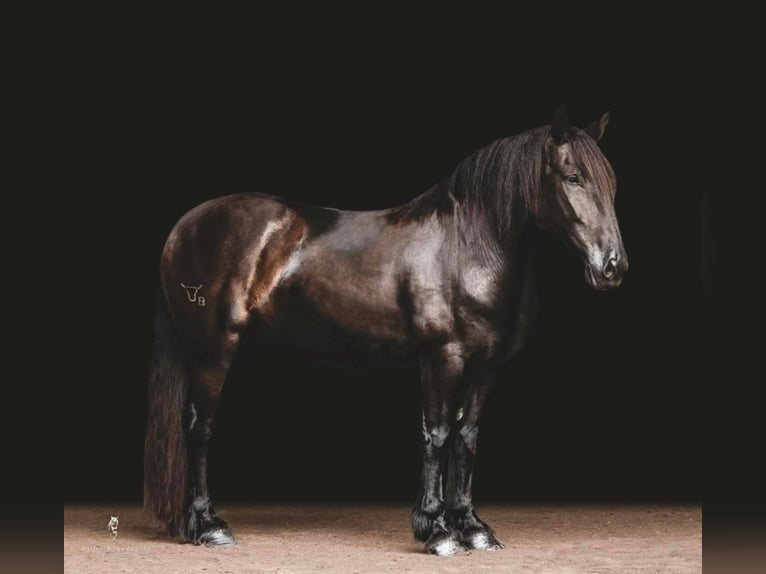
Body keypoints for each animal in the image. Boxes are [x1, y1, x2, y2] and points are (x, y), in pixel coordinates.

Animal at [146, 108, 632, 560]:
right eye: (572, 177)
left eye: (610, 183)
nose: (613, 267)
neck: (470, 246)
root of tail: (184, 227)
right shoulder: (442, 358)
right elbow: (438, 434)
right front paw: (437, 530)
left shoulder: (487, 366)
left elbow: (467, 437)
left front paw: (473, 528)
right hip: (213, 349)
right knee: (199, 428)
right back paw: (210, 525)